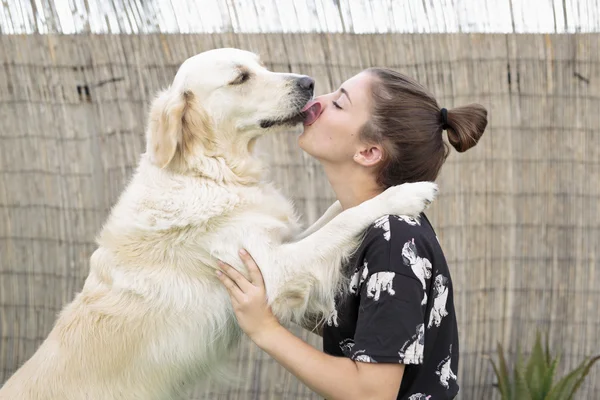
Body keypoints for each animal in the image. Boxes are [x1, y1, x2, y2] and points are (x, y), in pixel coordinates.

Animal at [0, 48, 436, 398]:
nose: (309, 82)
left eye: (261, 64)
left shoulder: (278, 240)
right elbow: (346, 218)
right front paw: (403, 193)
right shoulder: (272, 269)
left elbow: (335, 212)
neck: (211, 172)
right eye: (240, 77)